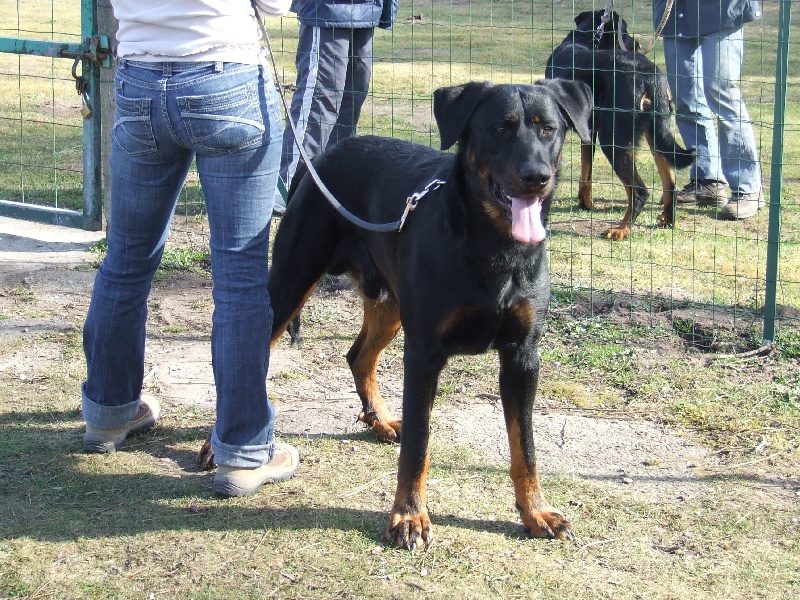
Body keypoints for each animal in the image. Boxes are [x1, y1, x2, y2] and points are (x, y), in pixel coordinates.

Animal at [258, 79, 592, 548]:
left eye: (549, 129)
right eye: (500, 128)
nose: (536, 178)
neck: (494, 247)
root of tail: (318, 161)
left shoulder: (522, 355)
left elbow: (524, 445)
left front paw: (536, 511)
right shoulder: (424, 355)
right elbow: (418, 444)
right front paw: (409, 516)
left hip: (390, 302)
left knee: (358, 356)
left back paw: (379, 421)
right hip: (291, 281)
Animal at [544, 8, 692, 239]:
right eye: (625, 30)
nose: (637, 44)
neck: (586, 39)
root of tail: (650, 75)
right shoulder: (589, 132)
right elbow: (586, 171)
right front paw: (585, 203)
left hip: (613, 138)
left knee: (639, 191)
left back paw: (622, 229)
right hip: (656, 132)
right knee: (670, 181)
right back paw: (668, 220)